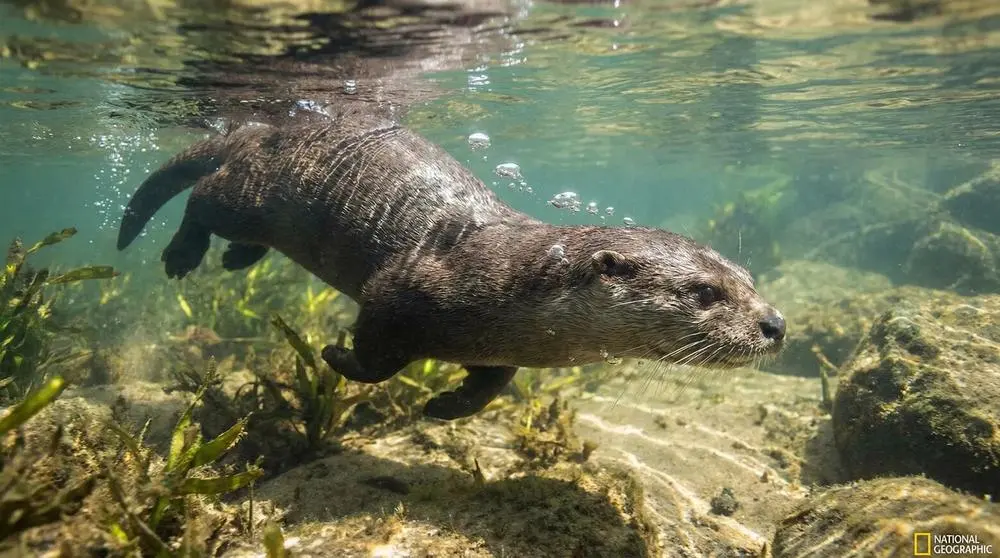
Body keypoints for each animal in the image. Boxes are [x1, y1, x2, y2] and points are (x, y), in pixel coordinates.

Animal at [116, 111, 786, 420]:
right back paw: (182, 254)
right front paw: (336, 357)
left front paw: (443, 408)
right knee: (204, 198)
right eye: (706, 292)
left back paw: (235, 259)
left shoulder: (499, 349)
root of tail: (259, 129)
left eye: (750, 282)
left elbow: (494, 382)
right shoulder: (397, 292)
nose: (775, 324)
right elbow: (377, 359)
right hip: (258, 195)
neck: (509, 283)